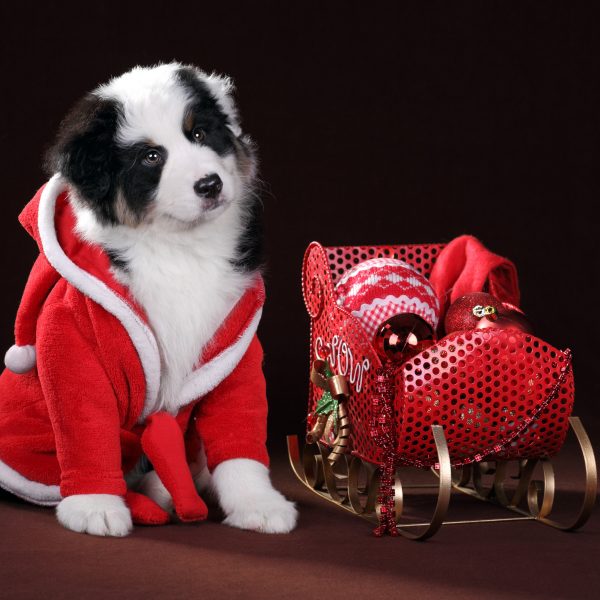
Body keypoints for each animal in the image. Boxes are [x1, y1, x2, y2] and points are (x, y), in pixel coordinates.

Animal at [0, 63, 298, 536]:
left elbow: (240, 429)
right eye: (151, 158)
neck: (179, 247)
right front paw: (95, 505)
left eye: (200, 134)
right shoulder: (72, 344)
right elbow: (85, 424)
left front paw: (258, 504)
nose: (210, 184)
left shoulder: (234, 346)